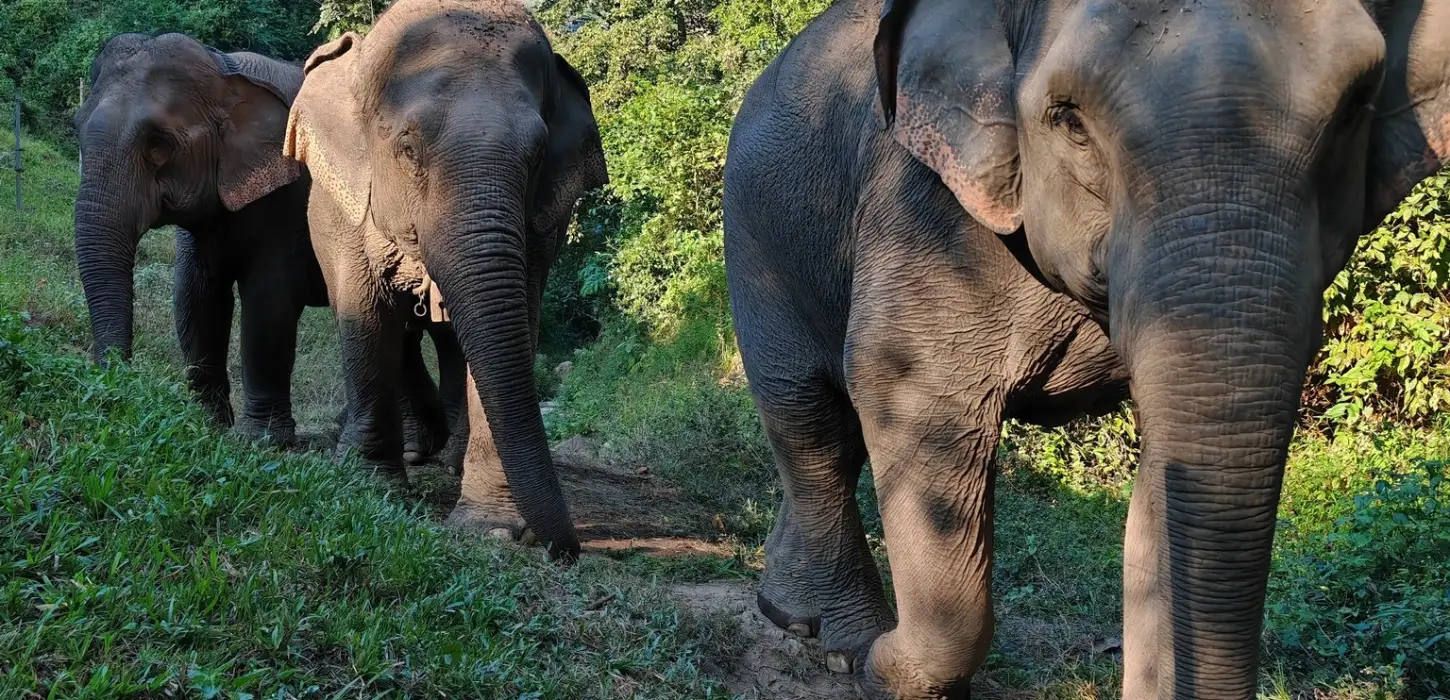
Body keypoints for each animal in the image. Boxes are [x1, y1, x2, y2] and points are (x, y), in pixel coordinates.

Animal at [74, 32, 464, 455]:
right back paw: (413, 445)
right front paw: (207, 427)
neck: (224, 68)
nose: (114, 380)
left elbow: (268, 301)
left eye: (158, 146)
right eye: (76, 129)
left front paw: (258, 441)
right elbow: (196, 297)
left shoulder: (288, 201)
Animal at [282, 0, 608, 560]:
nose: (565, 550)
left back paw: (447, 457)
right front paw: (371, 490)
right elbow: (365, 315)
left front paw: (491, 529)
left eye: (538, 156)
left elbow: (514, 322)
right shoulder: (346, 207)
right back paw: (416, 450)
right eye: (408, 148)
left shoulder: (542, 225)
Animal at [721, 0, 1449, 697]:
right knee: (808, 418)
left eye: (1356, 107)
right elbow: (908, 393)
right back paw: (839, 642)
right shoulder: (924, 212)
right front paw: (885, 669)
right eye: (1069, 120)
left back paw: (793, 614)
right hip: (756, 232)